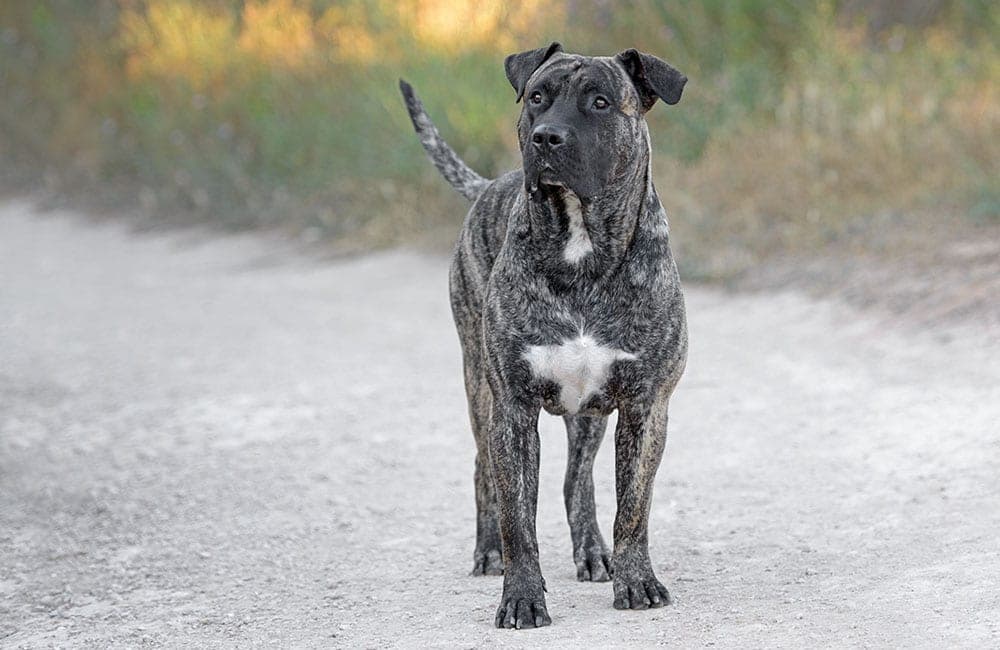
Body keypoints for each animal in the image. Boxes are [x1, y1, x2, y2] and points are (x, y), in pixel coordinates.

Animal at [398, 41, 688, 628]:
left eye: (600, 102)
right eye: (537, 97)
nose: (547, 137)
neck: (581, 248)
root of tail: (489, 184)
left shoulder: (646, 406)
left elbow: (633, 509)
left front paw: (636, 581)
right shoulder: (512, 407)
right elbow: (518, 518)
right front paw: (522, 597)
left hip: (589, 415)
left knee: (578, 480)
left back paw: (593, 552)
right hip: (479, 388)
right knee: (484, 471)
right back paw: (488, 551)